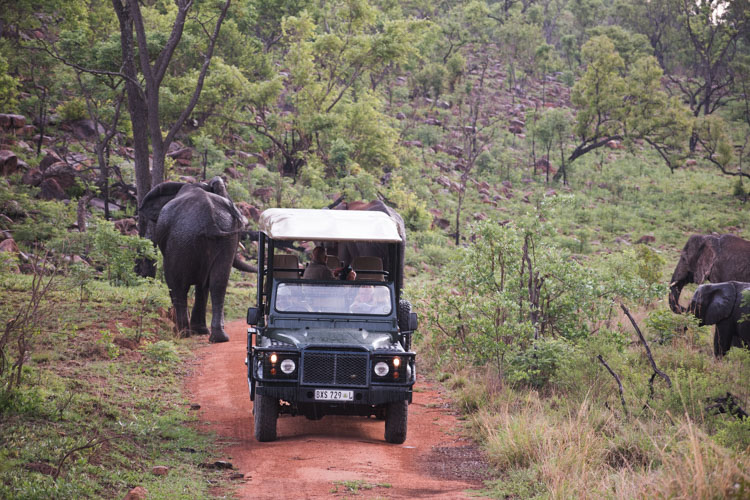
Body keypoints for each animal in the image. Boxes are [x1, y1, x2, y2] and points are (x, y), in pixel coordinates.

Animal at [140, 177, 258, 344]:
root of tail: (211, 220)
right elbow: (206, 284)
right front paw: (200, 331)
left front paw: (194, 331)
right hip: (223, 239)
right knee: (218, 283)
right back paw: (218, 338)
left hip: (181, 241)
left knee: (177, 285)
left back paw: (182, 333)